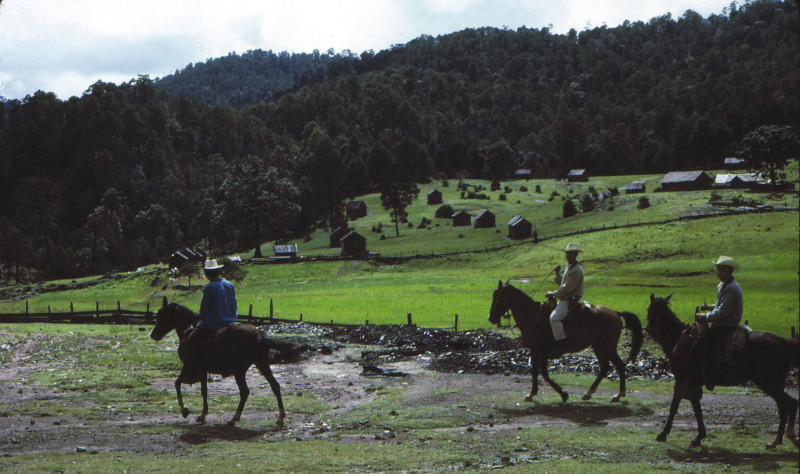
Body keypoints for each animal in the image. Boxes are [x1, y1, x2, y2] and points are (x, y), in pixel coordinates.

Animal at [151, 296, 288, 426]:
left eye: (161, 315)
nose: (153, 335)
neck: (188, 332)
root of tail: (257, 334)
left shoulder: (189, 365)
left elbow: (178, 383)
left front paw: (185, 411)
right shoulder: (203, 369)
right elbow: (204, 390)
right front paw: (203, 414)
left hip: (239, 370)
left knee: (245, 391)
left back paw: (234, 419)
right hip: (261, 363)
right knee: (275, 385)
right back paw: (280, 418)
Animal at [488, 282, 644, 404]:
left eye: (498, 298)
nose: (491, 318)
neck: (532, 317)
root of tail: (616, 313)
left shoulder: (539, 351)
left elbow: (542, 373)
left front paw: (562, 394)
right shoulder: (536, 351)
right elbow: (536, 372)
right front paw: (534, 394)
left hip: (607, 346)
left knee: (619, 365)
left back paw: (618, 395)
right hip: (598, 346)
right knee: (605, 367)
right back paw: (589, 393)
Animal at [648, 294, 796, 450]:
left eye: (648, 309)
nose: (650, 331)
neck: (678, 340)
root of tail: (784, 341)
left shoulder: (681, 379)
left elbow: (675, 406)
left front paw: (663, 434)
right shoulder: (692, 383)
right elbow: (697, 409)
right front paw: (699, 437)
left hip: (769, 383)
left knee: (789, 404)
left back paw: (786, 438)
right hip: (774, 384)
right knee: (784, 407)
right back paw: (777, 441)